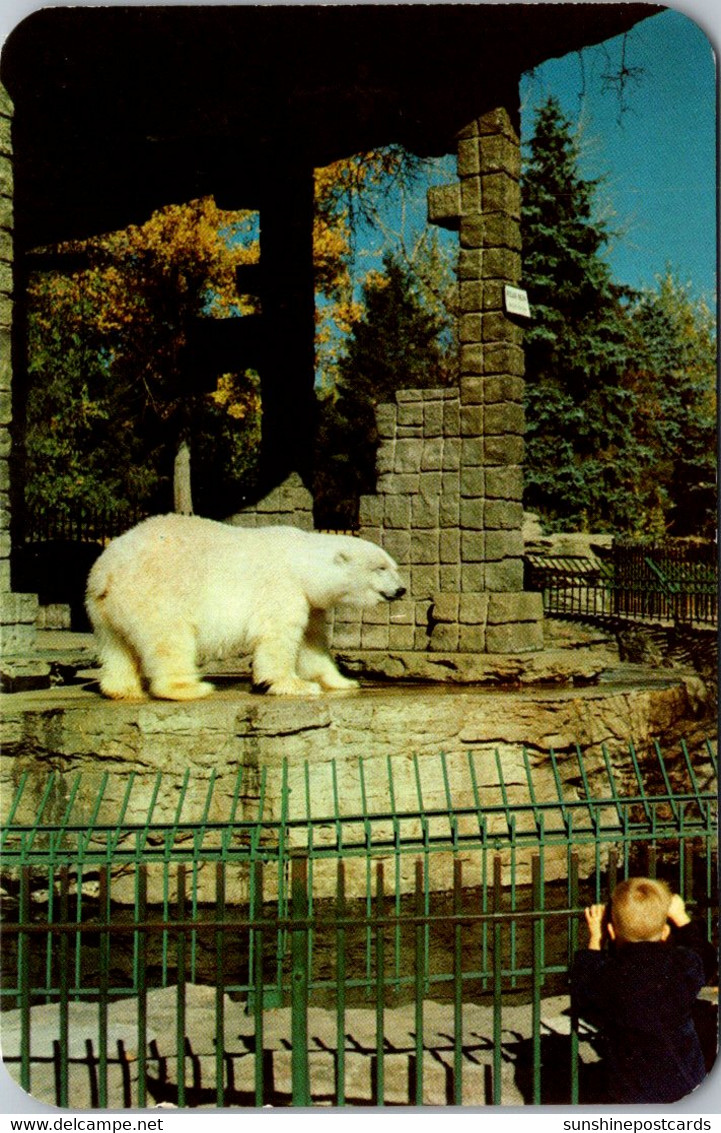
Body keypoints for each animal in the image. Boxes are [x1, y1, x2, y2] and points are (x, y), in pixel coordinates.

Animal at [86, 516, 405, 697]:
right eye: (380, 568)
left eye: (393, 566)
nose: (401, 589)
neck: (301, 564)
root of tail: (106, 573)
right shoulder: (282, 588)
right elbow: (278, 637)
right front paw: (293, 685)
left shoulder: (308, 601)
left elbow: (311, 644)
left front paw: (343, 682)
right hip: (156, 594)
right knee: (170, 640)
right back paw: (190, 688)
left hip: (103, 609)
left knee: (116, 645)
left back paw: (121, 690)